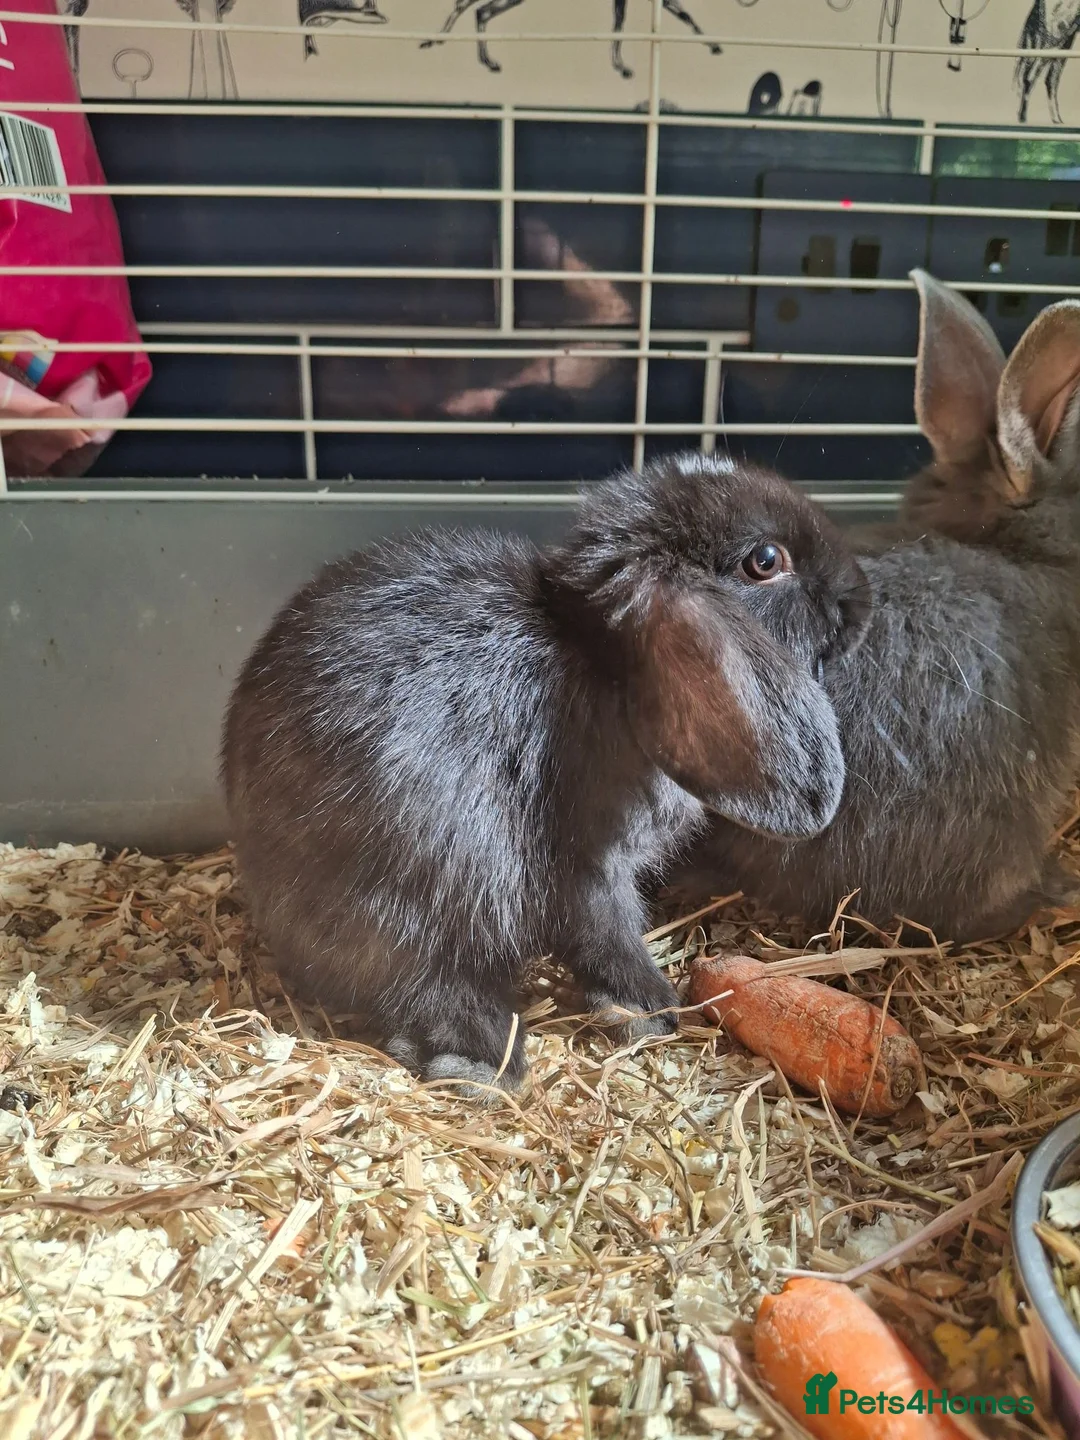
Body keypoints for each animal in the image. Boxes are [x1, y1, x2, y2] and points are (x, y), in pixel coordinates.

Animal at [221, 453, 869, 1096]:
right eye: (766, 561)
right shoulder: (589, 869)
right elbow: (608, 933)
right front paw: (651, 1010)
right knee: (428, 989)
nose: (858, 599)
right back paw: (482, 1068)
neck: (605, 665)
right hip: (414, 902)